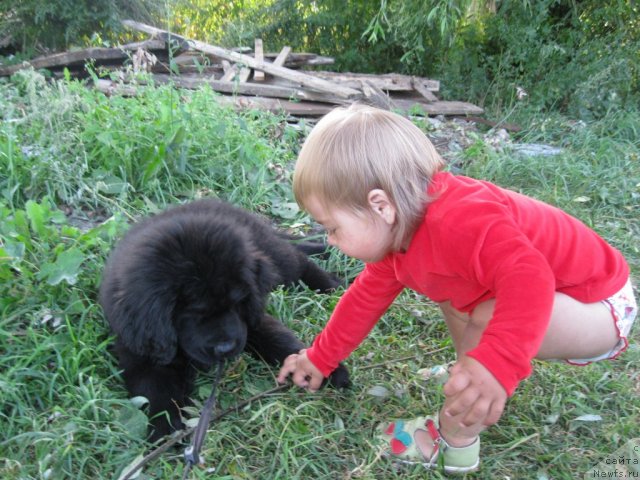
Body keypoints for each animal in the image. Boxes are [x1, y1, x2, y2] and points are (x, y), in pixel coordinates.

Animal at [100, 200, 350, 442]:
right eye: (194, 313)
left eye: (236, 301)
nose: (226, 348)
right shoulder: (143, 350)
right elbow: (155, 390)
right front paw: (164, 429)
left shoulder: (251, 319)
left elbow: (279, 340)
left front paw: (317, 368)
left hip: (275, 257)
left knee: (300, 262)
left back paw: (331, 285)